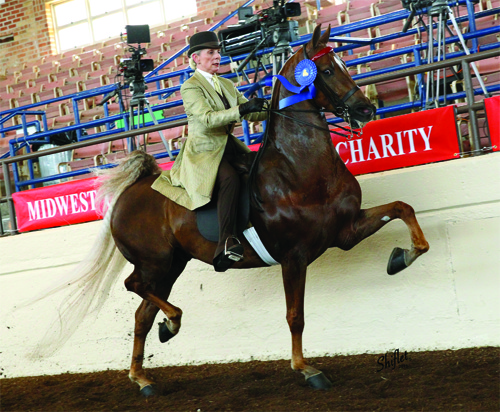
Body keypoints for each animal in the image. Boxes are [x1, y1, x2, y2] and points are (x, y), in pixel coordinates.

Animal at [38, 25, 430, 396]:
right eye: (329, 70)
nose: (366, 110)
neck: (300, 168)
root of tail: (130, 191)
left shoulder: (345, 231)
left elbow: (403, 209)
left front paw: (402, 257)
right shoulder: (294, 256)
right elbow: (295, 316)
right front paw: (307, 369)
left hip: (171, 264)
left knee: (142, 315)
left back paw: (145, 376)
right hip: (155, 261)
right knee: (135, 286)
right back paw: (172, 323)